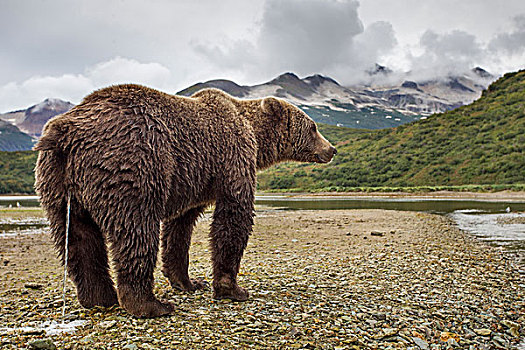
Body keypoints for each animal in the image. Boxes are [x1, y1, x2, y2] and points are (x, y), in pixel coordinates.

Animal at [33, 85, 336, 318]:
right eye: (313, 127)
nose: (332, 149)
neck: (254, 134)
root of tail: (66, 129)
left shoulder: (193, 180)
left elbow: (180, 227)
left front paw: (188, 281)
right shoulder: (232, 156)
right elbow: (234, 214)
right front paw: (232, 289)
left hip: (57, 183)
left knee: (77, 239)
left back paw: (100, 298)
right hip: (132, 160)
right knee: (137, 229)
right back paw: (150, 304)